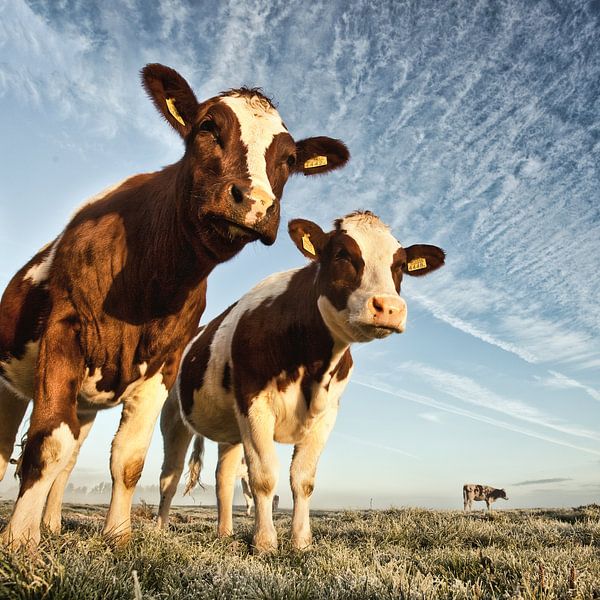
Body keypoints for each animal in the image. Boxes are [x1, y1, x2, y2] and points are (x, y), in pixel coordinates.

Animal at [0, 62, 350, 548]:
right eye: (208, 126)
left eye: (290, 160)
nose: (256, 203)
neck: (148, 282)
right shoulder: (63, 331)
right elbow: (45, 444)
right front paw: (19, 543)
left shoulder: (163, 365)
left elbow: (127, 459)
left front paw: (118, 537)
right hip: (11, 380)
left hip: (88, 401)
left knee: (71, 456)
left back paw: (51, 523)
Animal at [156, 212, 446, 552]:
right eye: (341, 254)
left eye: (399, 265)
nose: (389, 308)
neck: (313, 365)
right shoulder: (254, 405)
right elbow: (264, 476)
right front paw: (265, 543)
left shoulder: (327, 414)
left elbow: (303, 479)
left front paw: (301, 542)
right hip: (172, 414)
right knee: (170, 475)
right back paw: (159, 529)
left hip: (230, 431)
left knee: (223, 477)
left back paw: (224, 533)